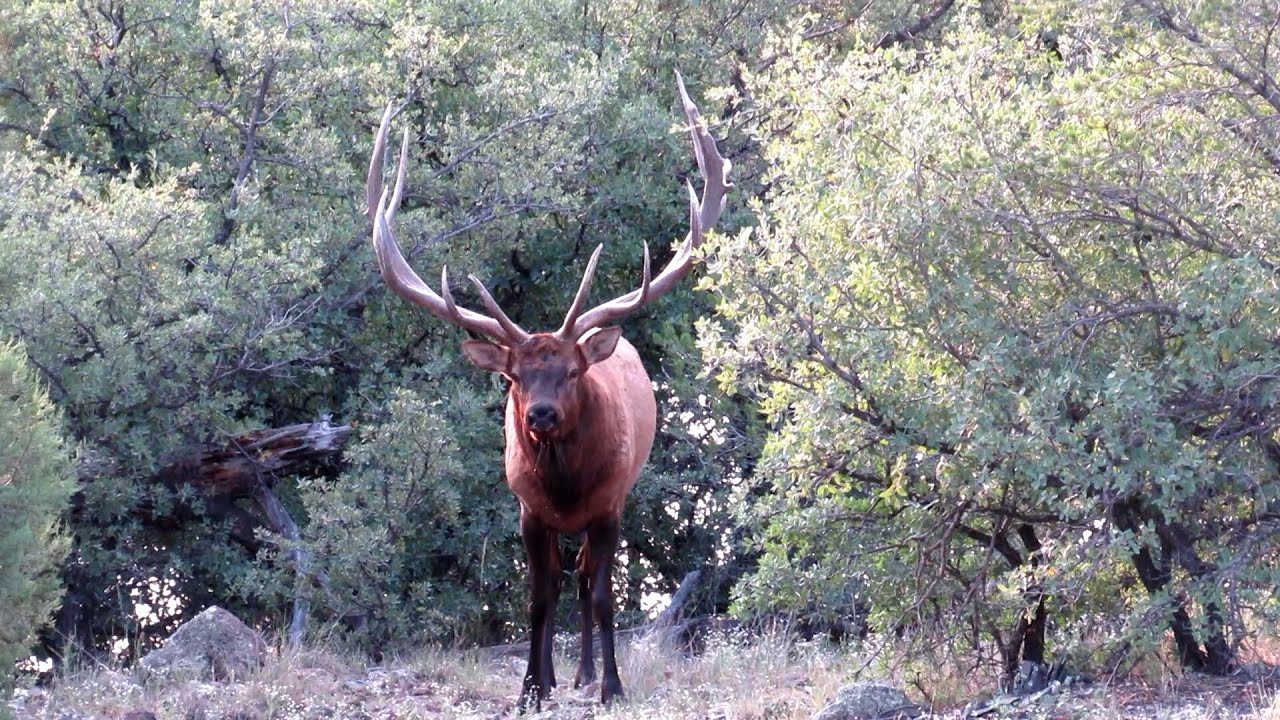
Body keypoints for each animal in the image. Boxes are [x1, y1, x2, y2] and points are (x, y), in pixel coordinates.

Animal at [365, 73, 731, 712]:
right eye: (515, 375)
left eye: (572, 372)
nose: (539, 413)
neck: (566, 487)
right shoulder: (528, 509)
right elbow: (537, 600)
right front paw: (530, 689)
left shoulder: (610, 504)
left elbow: (603, 595)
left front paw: (611, 686)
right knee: (562, 583)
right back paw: (559, 676)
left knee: (583, 580)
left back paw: (584, 673)